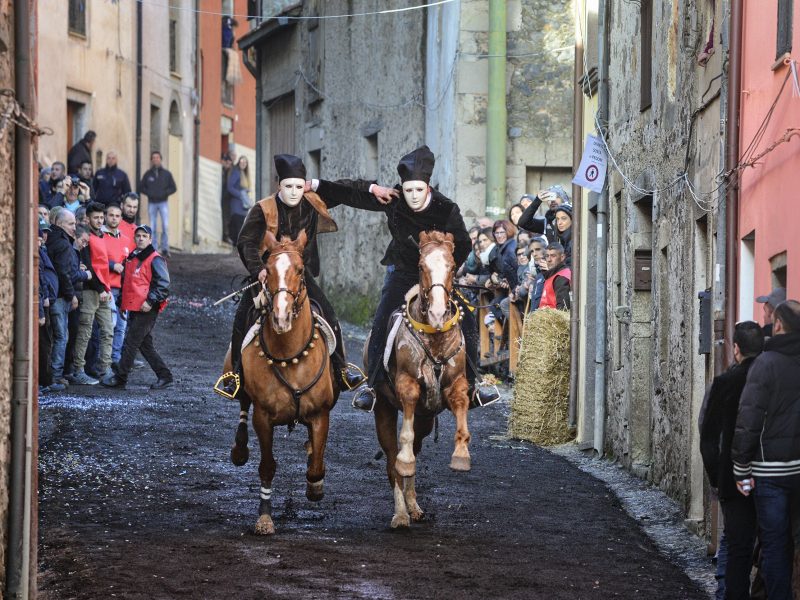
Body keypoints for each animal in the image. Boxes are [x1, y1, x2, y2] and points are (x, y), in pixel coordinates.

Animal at [220, 231, 340, 536]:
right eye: (268, 270)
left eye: (299, 270)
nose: (281, 316)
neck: (291, 355)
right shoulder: (263, 418)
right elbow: (267, 466)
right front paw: (264, 518)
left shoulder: (320, 414)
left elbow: (317, 465)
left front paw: (315, 486)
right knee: (242, 407)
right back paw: (239, 450)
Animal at [370, 232, 476, 528]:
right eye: (421, 266)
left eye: (452, 266)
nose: (438, 314)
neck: (435, 337)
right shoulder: (407, 385)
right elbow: (403, 444)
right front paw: (405, 463)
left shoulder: (456, 385)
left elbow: (461, 413)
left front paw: (461, 456)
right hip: (383, 409)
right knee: (392, 459)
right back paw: (401, 513)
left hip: (426, 419)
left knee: (416, 448)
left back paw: (413, 506)